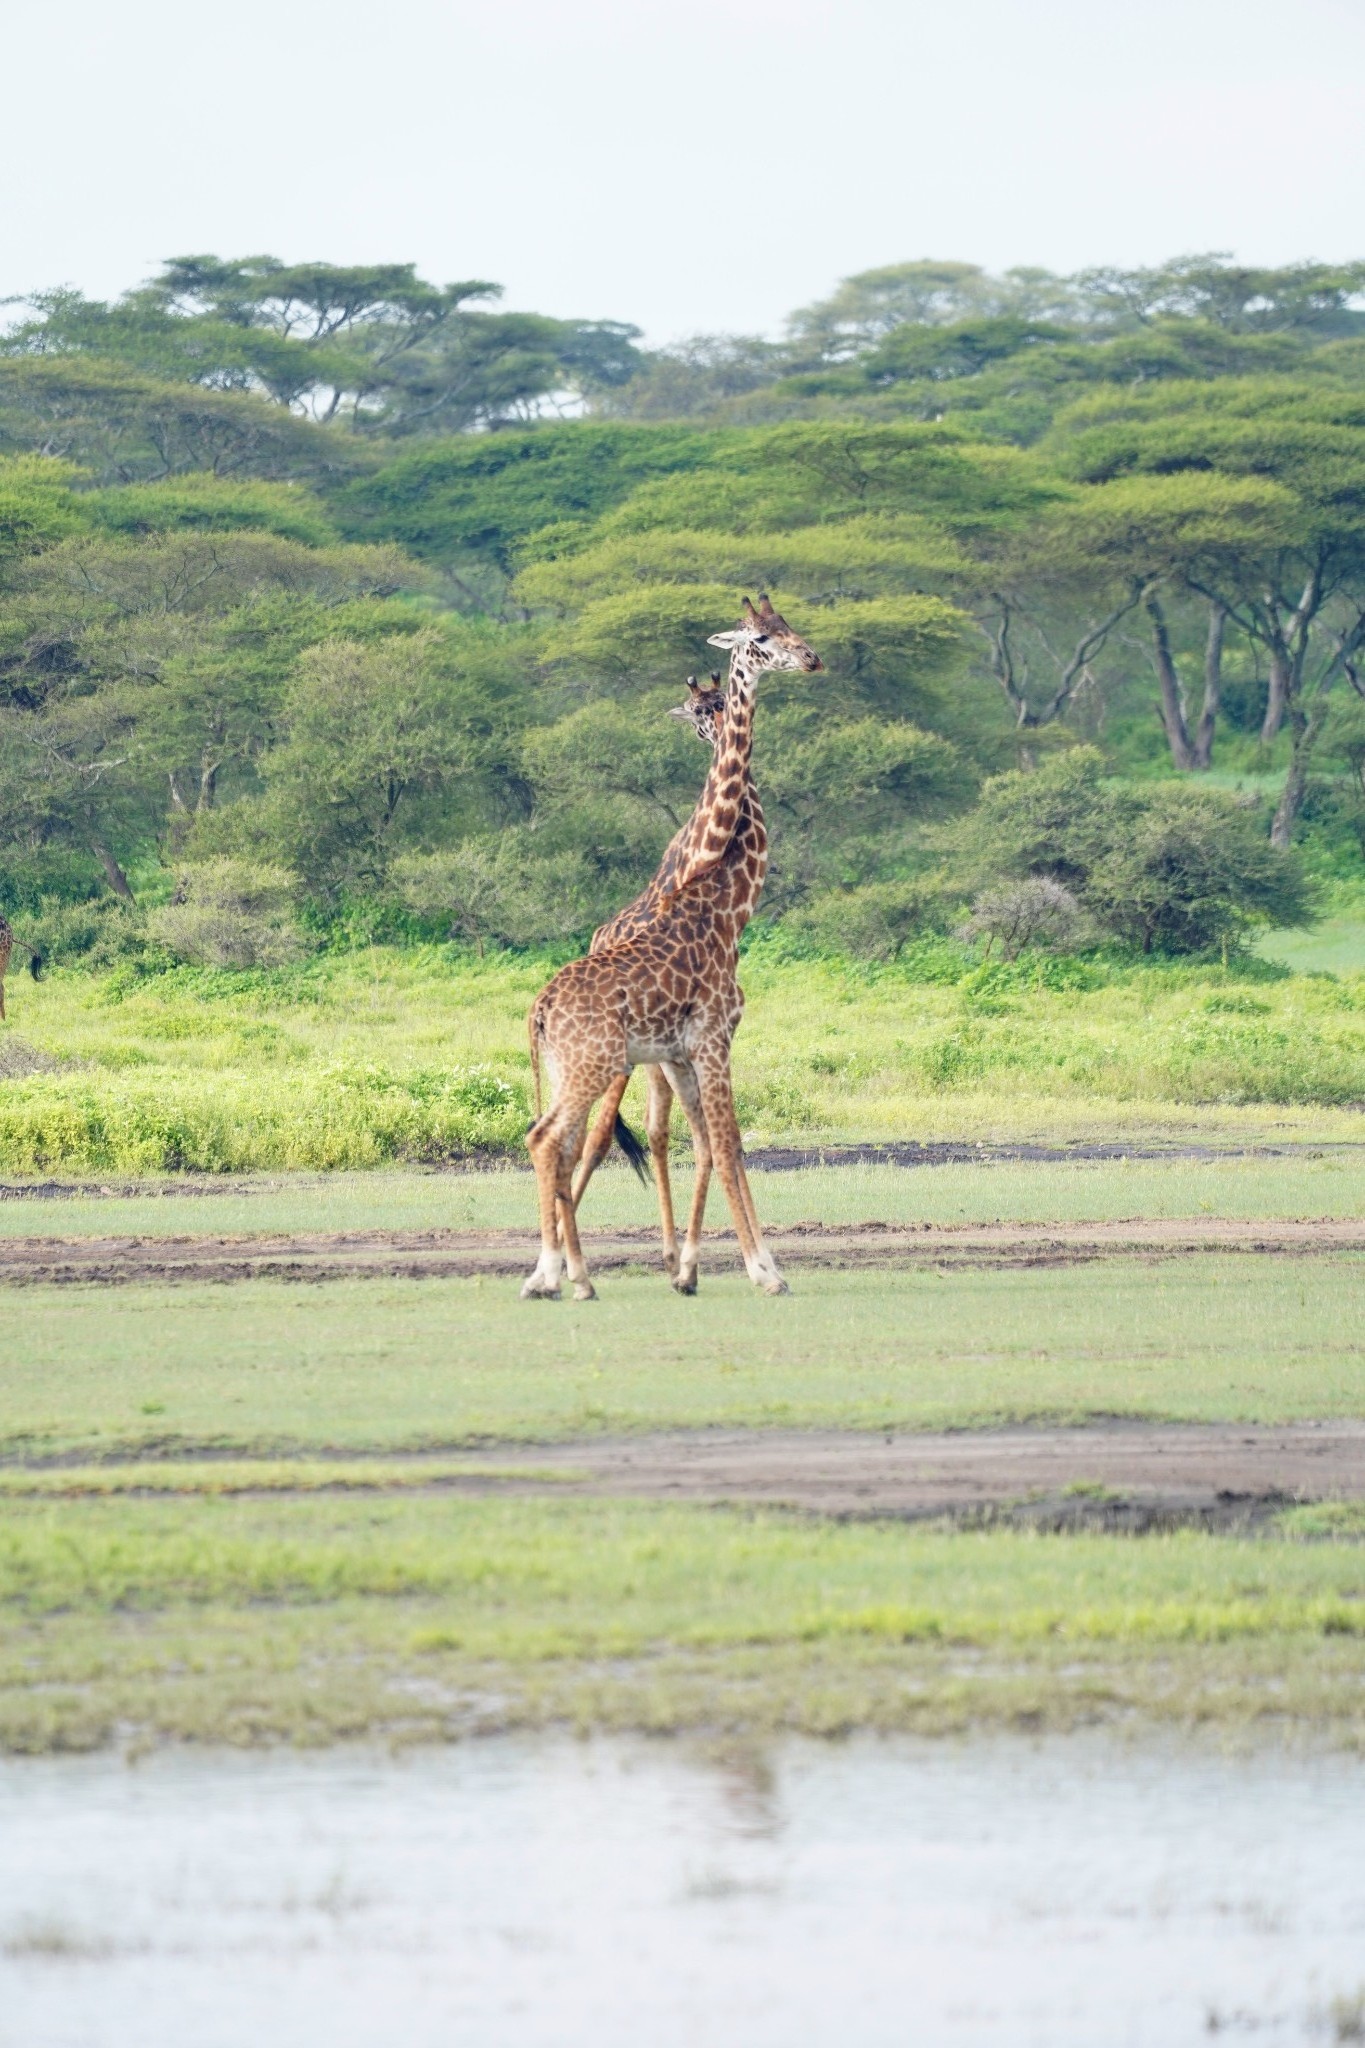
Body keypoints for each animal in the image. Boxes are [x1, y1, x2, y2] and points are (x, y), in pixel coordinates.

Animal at [523, 593, 822, 1302]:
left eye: (791, 626)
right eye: (763, 638)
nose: (813, 657)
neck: (720, 902)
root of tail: (539, 1008)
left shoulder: (685, 1053)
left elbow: (708, 1144)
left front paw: (693, 1266)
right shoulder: (713, 1040)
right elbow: (731, 1142)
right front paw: (763, 1268)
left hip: (582, 1067)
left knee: (567, 1140)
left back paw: (570, 1268)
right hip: (603, 1065)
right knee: (568, 1140)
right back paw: (560, 1272)